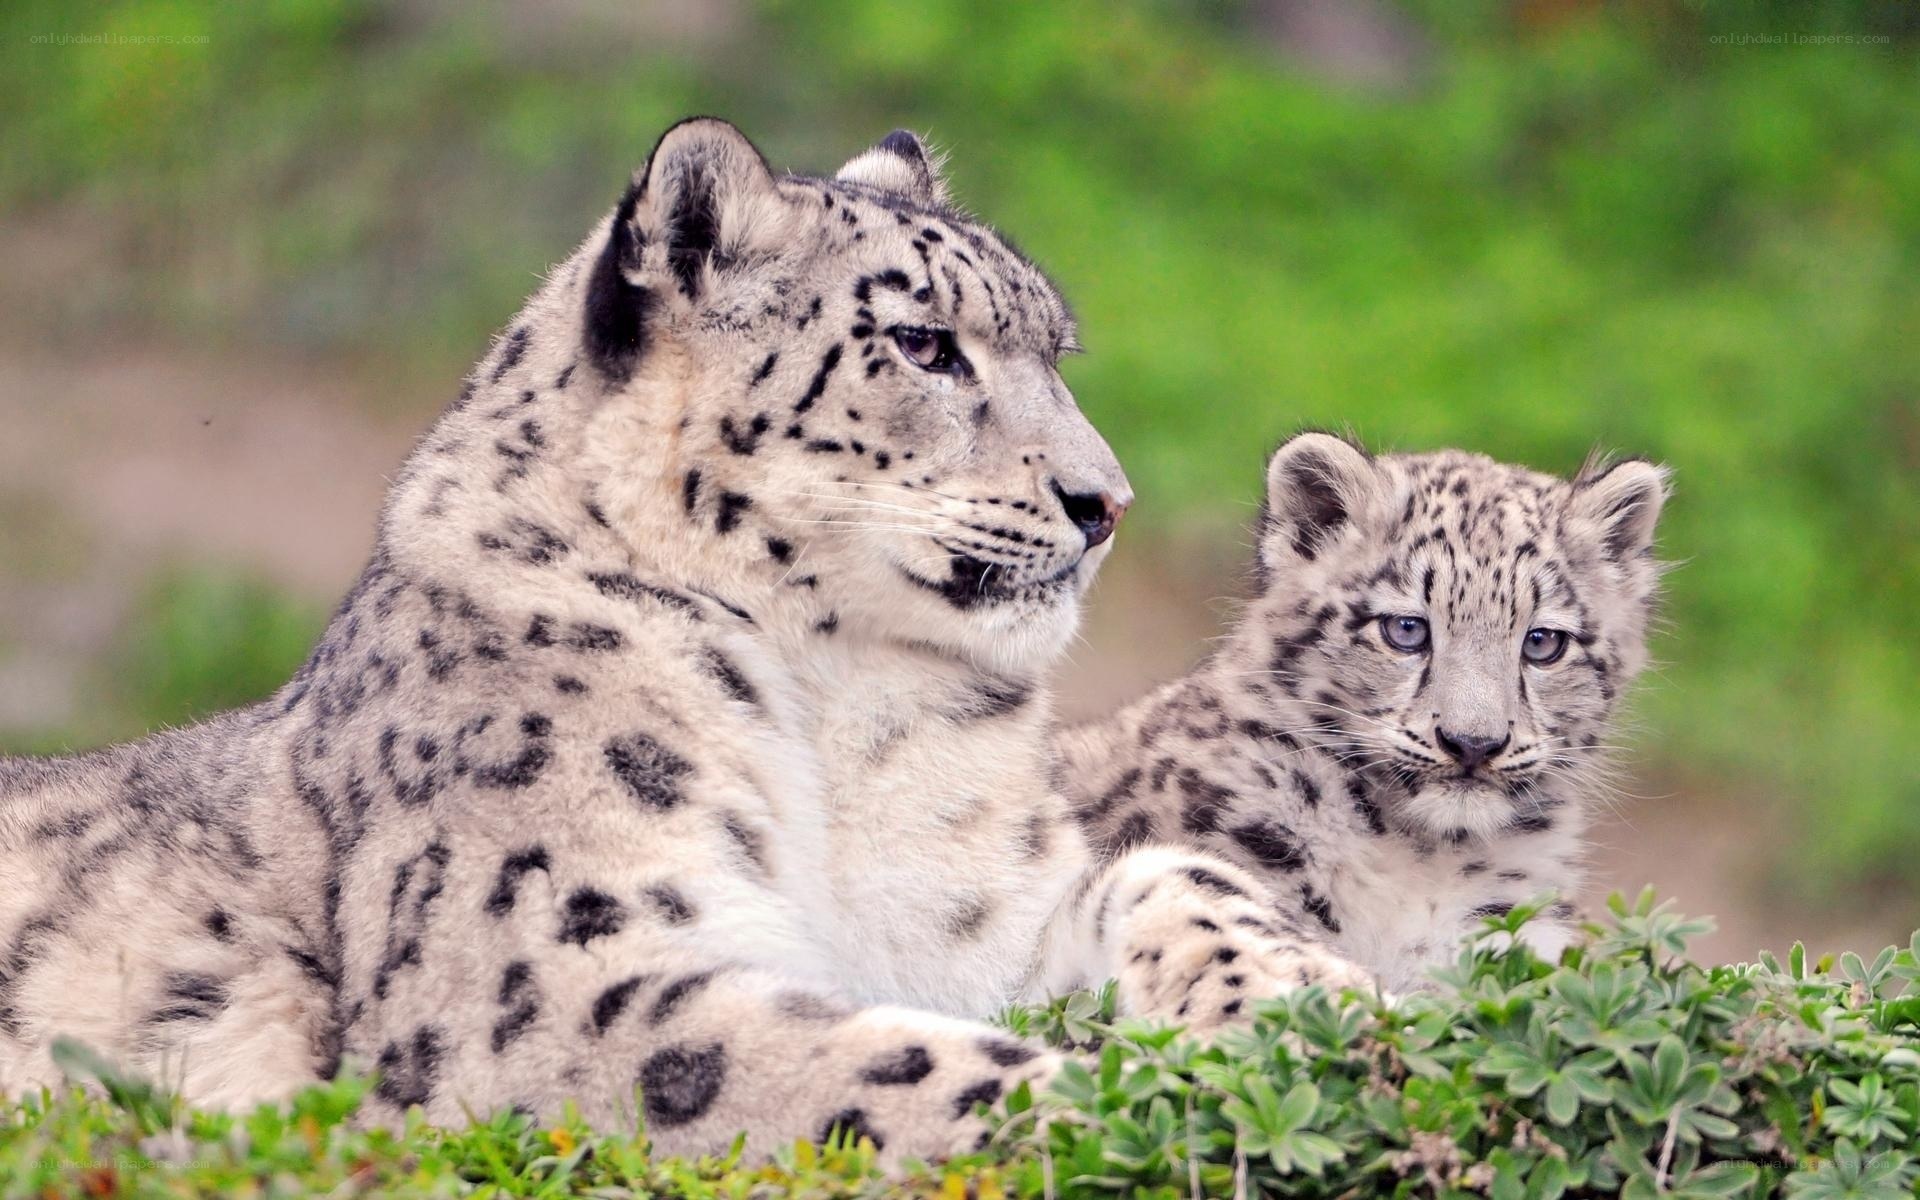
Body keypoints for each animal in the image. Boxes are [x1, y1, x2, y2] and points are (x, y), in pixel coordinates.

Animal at [0, 120, 1371, 1164]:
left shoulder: (979, 917)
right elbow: (868, 1063)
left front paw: (1324, 1002)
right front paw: (1172, 1106)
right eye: (923, 343)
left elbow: (1171, 876)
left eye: (1055, 350)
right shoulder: (554, 981)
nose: (1107, 502)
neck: (845, 714)